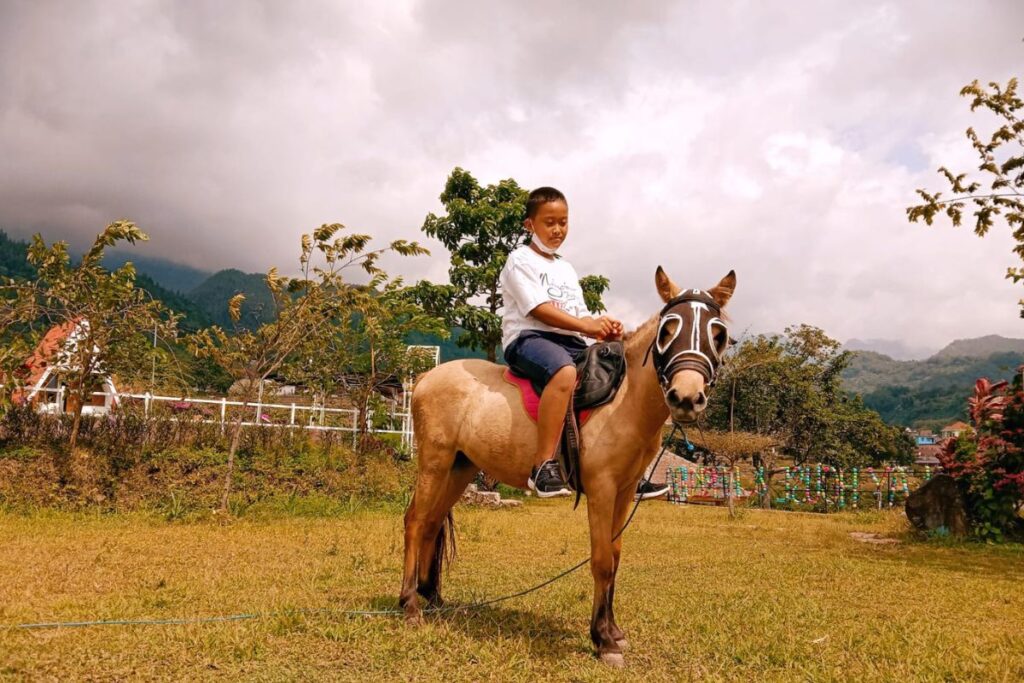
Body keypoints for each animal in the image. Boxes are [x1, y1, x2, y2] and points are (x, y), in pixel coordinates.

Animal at [399, 266, 735, 667]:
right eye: (668, 331)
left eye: (719, 335)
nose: (686, 397)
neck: (624, 399)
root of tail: (425, 377)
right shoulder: (602, 488)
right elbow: (602, 560)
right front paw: (603, 641)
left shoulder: (625, 491)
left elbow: (616, 556)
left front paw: (613, 632)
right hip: (434, 461)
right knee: (415, 521)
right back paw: (410, 605)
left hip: (460, 467)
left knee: (433, 523)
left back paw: (433, 599)